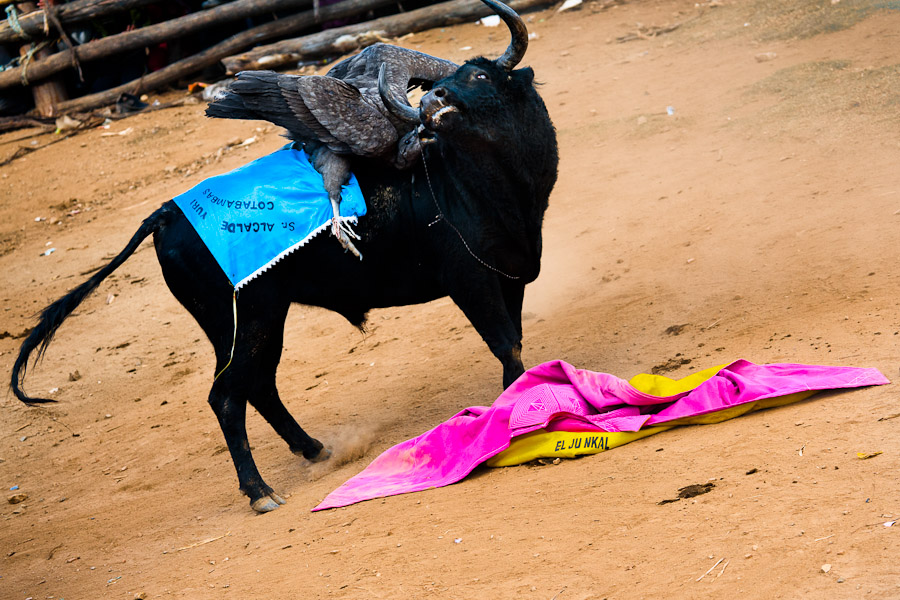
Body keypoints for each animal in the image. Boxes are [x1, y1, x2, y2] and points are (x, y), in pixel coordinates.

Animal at [10, 59, 560, 510]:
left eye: (483, 75)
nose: (431, 103)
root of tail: (167, 213)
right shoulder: (469, 279)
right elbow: (505, 343)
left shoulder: (511, 272)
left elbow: (513, 339)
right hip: (250, 317)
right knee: (227, 396)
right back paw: (259, 492)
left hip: (245, 322)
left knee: (257, 385)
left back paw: (313, 449)